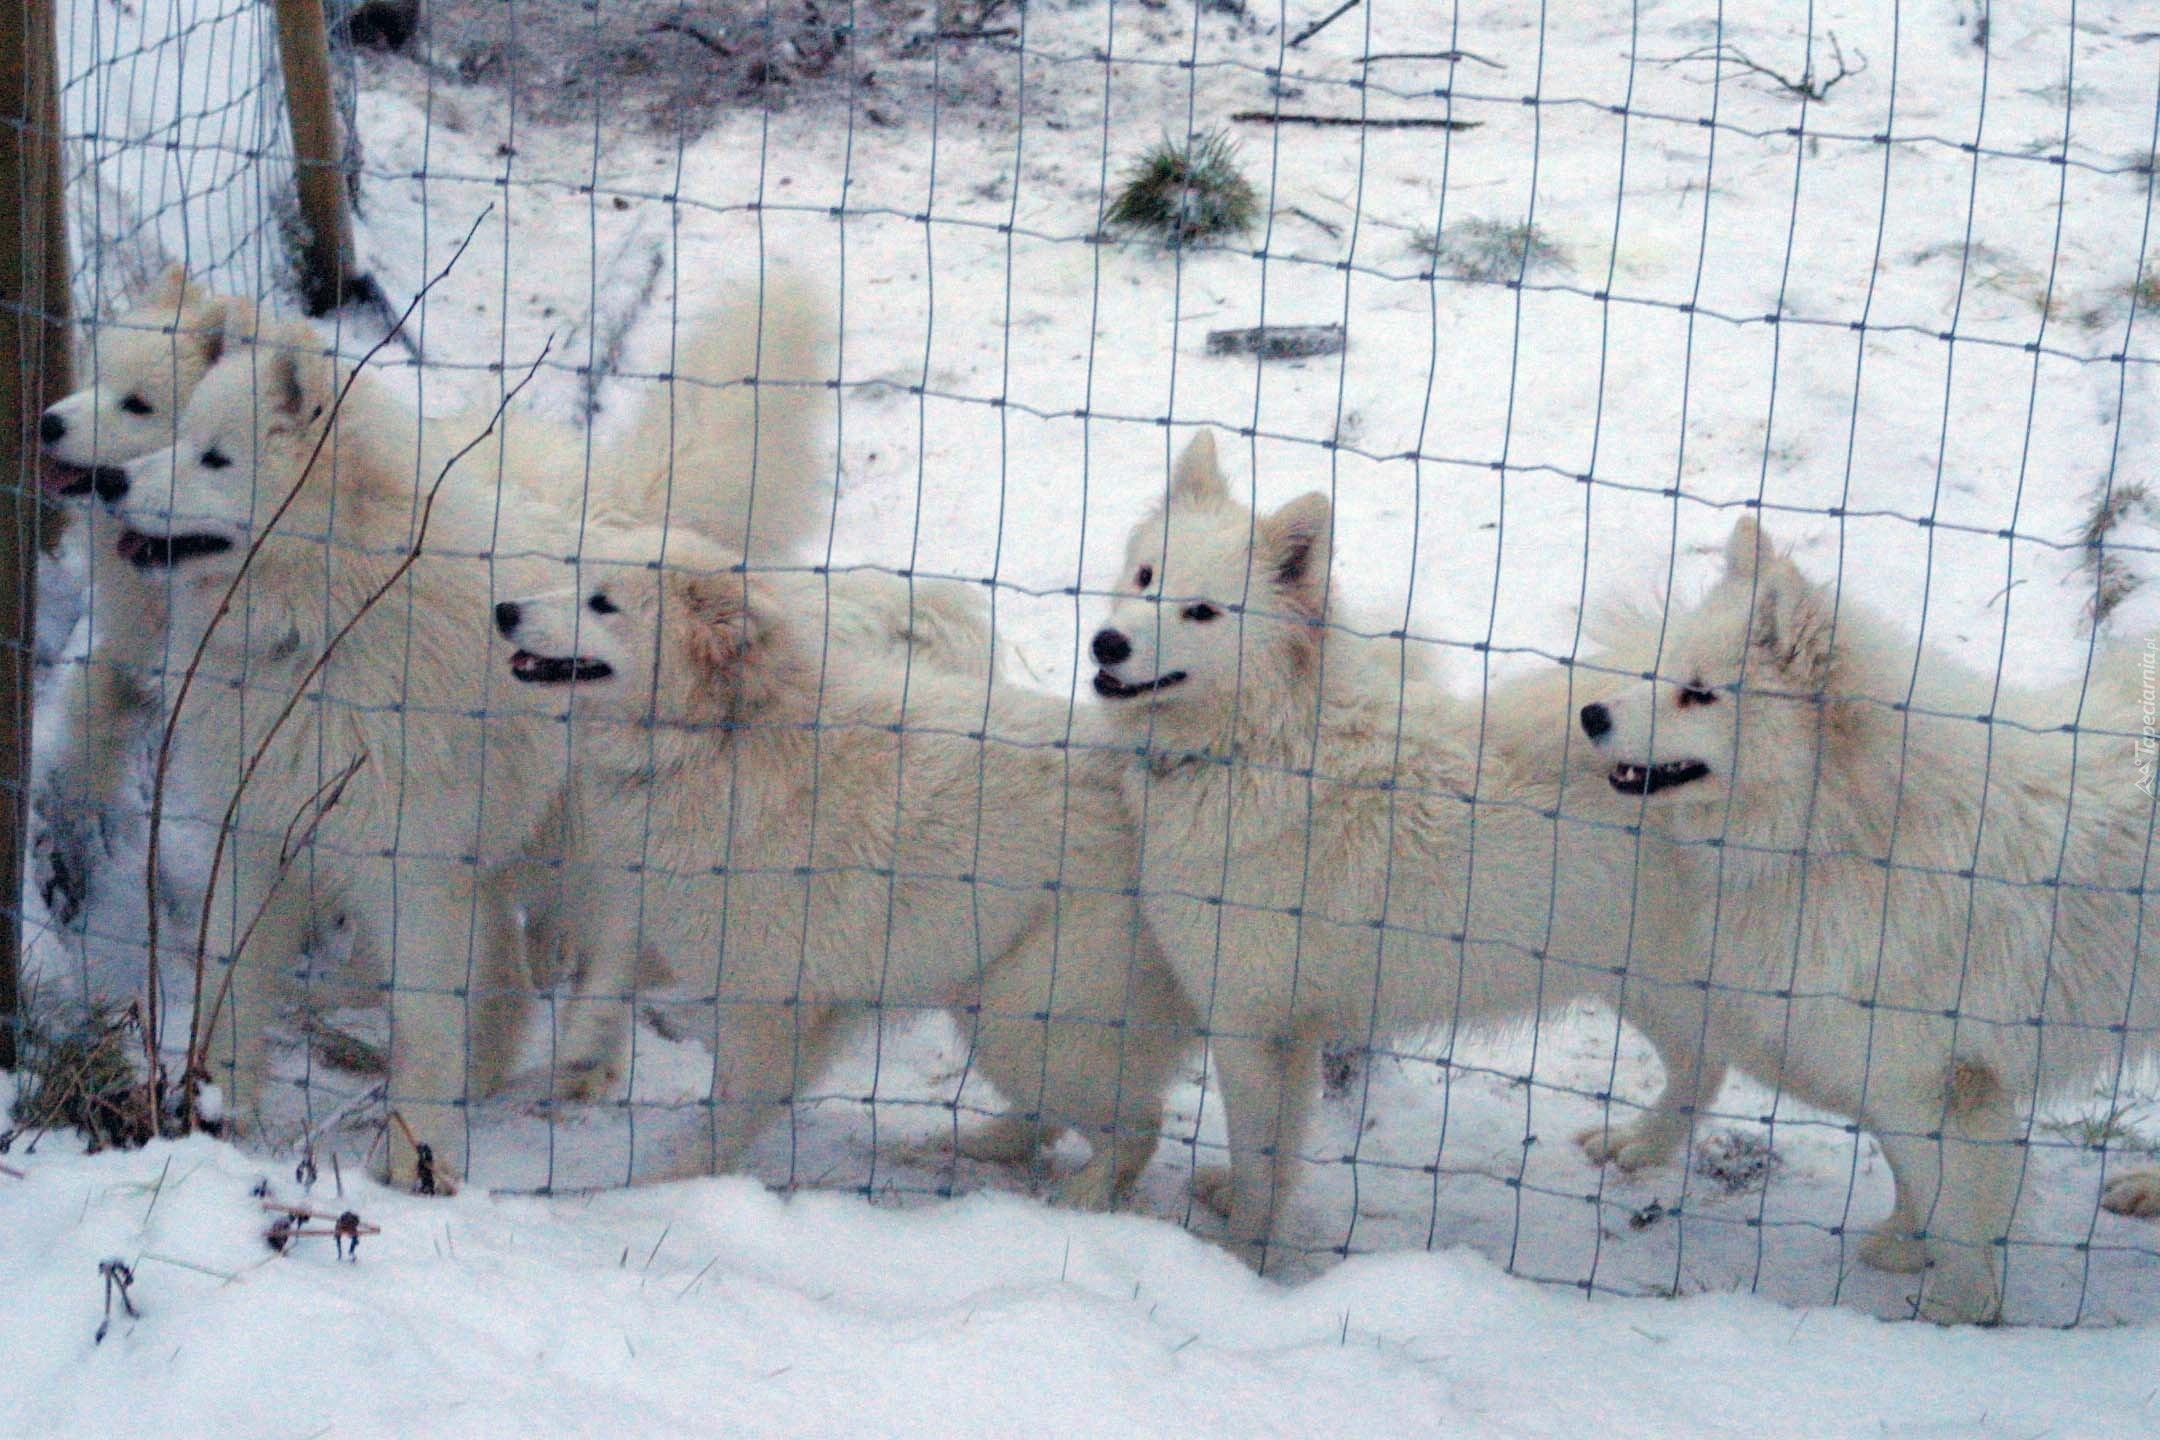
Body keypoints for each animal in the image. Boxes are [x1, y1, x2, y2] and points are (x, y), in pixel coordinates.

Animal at [33, 264, 257, 928]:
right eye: (94, 376)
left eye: (137, 405)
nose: (49, 423)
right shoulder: (137, 649)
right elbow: (96, 700)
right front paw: (75, 785)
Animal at [105, 276, 838, 1191]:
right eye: (178, 438)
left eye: (215, 459)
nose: (110, 481)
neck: (326, 625)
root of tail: (623, 510)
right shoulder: (260, 837)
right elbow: (230, 989)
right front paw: (213, 1117)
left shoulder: (412, 869)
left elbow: (422, 1022)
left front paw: (412, 1160)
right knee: (512, 986)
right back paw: (488, 1075)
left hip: (587, 843)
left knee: (605, 956)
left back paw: (584, 1066)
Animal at [494, 528, 1200, 1208]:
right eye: (576, 580)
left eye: (602, 603)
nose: (504, 610)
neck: (720, 734)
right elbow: (610, 972)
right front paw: (584, 1046)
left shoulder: (771, 997)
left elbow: (730, 1109)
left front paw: (676, 1184)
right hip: (994, 1001)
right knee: (1055, 1111)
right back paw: (983, 1145)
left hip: (1030, 1013)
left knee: (1137, 1125)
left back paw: (1083, 1199)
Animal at [1097, 431, 1684, 1269]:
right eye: (1146, 576)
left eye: (1202, 611)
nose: (1106, 642)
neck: (1259, 747)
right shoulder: (1291, 1032)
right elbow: (1277, 1154)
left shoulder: (1250, 1024)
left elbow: (1261, 1160)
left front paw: (1242, 1258)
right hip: (1645, 983)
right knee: (1702, 1067)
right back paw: (1641, 1145)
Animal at [1572, 520, 2160, 1329]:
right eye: (1658, 672)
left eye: (1699, 694)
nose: (1590, 715)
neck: (1845, 827)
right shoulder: (1888, 1071)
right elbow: (1915, 1179)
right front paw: (1904, 1247)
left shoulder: (1937, 1080)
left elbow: (1959, 1209)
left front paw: (1952, 1314)